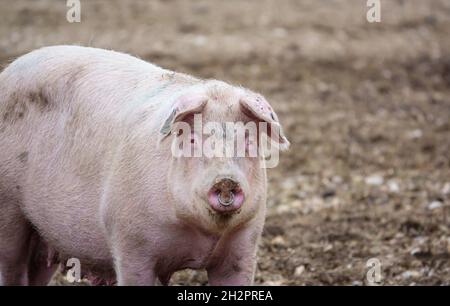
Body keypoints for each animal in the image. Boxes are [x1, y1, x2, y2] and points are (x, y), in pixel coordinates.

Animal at [0, 46, 288, 286]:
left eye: (249, 140)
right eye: (192, 139)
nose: (226, 180)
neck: (201, 236)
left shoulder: (243, 245)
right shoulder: (130, 242)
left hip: (42, 234)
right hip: (8, 208)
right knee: (12, 267)